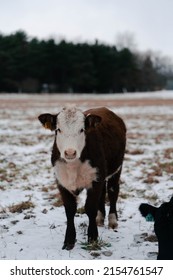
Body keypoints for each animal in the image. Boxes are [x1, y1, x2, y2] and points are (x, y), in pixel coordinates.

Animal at [38, 105, 126, 249]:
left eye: (82, 130)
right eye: (58, 129)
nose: (70, 152)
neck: (73, 165)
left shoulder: (95, 180)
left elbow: (90, 208)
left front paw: (93, 237)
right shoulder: (62, 182)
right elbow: (69, 210)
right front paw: (69, 240)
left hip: (116, 169)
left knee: (113, 191)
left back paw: (112, 220)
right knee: (103, 193)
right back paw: (100, 218)